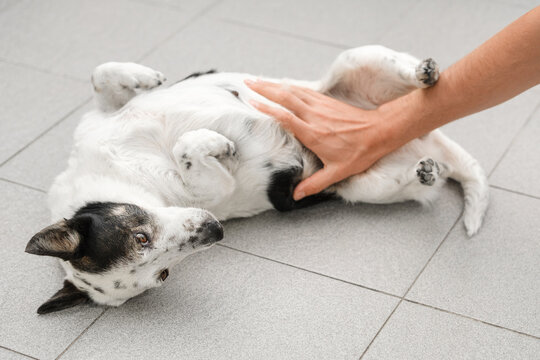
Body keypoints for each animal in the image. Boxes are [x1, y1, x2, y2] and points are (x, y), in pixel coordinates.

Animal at [25, 46, 490, 314]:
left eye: (141, 236)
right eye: (163, 275)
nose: (215, 230)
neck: (116, 168)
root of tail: (421, 134)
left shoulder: (101, 117)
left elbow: (101, 73)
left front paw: (146, 76)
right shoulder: (214, 191)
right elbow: (191, 149)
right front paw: (217, 144)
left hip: (356, 61)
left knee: (401, 73)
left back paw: (424, 73)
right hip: (366, 187)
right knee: (418, 181)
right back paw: (424, 171)